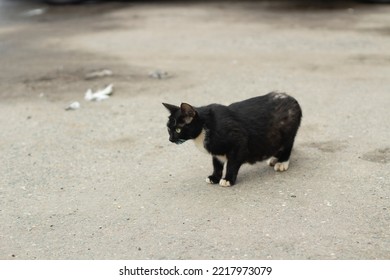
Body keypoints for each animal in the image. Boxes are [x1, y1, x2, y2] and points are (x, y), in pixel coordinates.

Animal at [163, 92, 304, 187]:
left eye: (178, 130)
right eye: (168, 129)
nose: (170, 139)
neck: (205, 126)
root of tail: (292, 98)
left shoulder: (238, 141)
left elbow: (232, 163)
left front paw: (228, 179)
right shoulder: (216, 150)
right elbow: (217, 164)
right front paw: (214, 177)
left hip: (287, 132)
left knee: (287, 146)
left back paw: (282, 162)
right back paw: (274, 158)